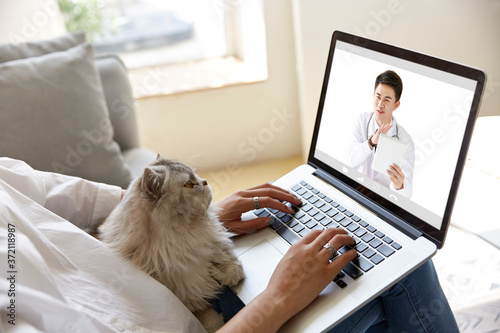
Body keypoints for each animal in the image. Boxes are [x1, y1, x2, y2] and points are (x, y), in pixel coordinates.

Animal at [98, 156, 244, 332]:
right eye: (189, 184)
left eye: (196, 176)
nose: (205, 181)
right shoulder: (191, 300)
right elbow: (209, 318)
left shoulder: (214, 244)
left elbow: (231, 264)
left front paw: (222, 274)